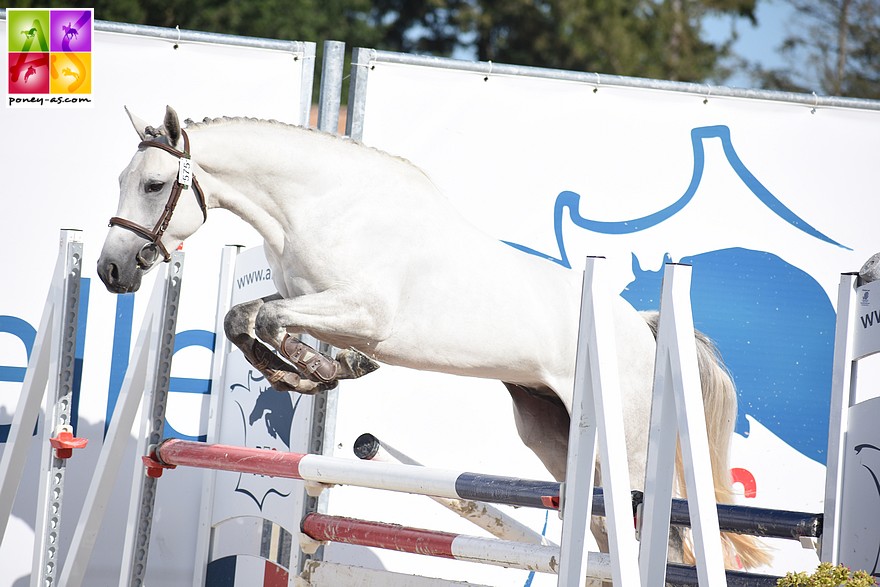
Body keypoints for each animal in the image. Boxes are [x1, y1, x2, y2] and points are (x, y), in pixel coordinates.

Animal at [97, 105, 769, 573]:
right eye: (124, 179)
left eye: (154, 185)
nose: (111, 271)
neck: (323, 206)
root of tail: (646, 331)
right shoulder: (310, 304)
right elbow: (247, 318)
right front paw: (311, 370)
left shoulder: (362, 312)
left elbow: (264, 322)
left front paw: (315, 371)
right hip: (555, 435)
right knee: (606, 535)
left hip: (624, 444)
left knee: (664, 538)